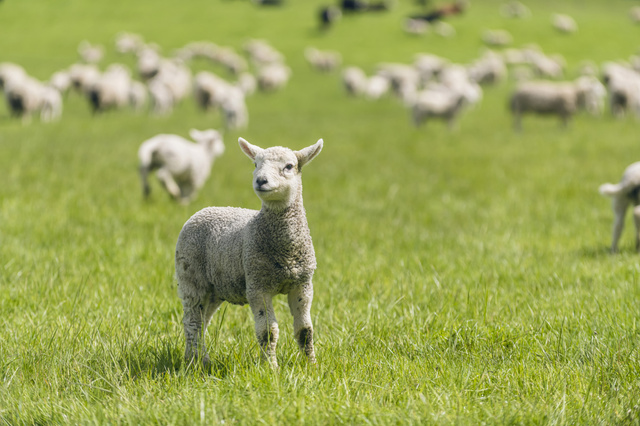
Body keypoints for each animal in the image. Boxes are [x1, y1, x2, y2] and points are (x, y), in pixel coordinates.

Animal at [174, 137, 323, 368]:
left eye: (289, 166)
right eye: (255, 164)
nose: (261, 181)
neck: (286, 252)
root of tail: (203, 210)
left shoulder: (303, 285)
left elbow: (305, 331)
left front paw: (311, 365)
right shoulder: (257, 285)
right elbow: (268, 332)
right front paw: (271, 367)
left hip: (215, 287)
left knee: (203, 321)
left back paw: (200, 358)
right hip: (191, 277)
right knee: (192, 322)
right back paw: (195, 361)